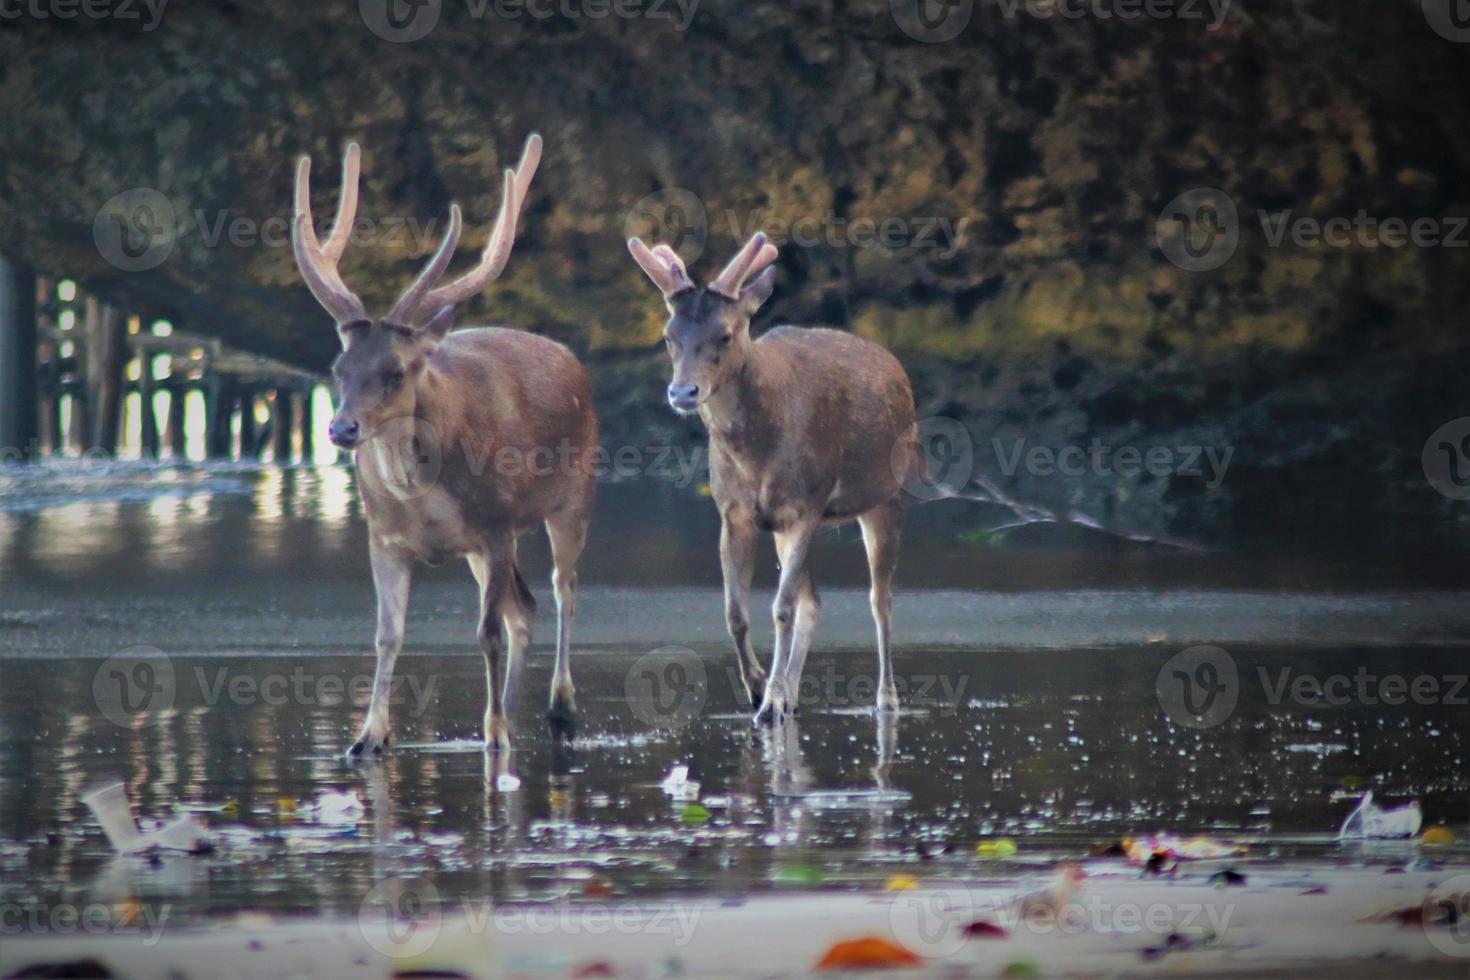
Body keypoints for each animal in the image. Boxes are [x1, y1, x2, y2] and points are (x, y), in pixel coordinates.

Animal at [292, 134, 596, 758]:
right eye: (339, 368)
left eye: (395, 371)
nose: (341, 429)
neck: (419, 496)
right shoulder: (384, 537)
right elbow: (387, 635)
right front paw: (368, 736)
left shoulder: (496, 524)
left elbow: (485, 633)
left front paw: (496, 734)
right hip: (489, 547)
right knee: (526, 608)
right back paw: (511, 710)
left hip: (572, 497)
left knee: (564, 588)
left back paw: (557, 705)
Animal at [629, 227, 917, 719]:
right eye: (669, 335)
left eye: (725, 334)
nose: (683, 392)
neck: (755, 456)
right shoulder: (734, 512)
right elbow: (736, 612)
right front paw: (760, 687)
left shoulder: (807, 505)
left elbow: (780, 608)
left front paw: (770, 696)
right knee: (814, 602)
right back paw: (792, 694)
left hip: (889, 497)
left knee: (881, 600)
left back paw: (885, 699)